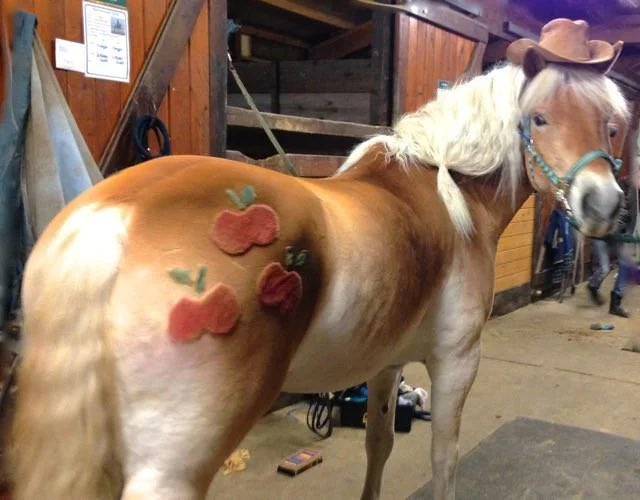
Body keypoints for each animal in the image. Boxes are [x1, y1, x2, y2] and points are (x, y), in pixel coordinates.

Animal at [10, 49, 628, 500]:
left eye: (612, 127)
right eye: (539, 119)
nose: (603, 205)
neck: (452, 194)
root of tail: (115, 217)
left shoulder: (387, 364)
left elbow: (379, 442)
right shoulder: (456, 361)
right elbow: (443, 457)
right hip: (171, 466)